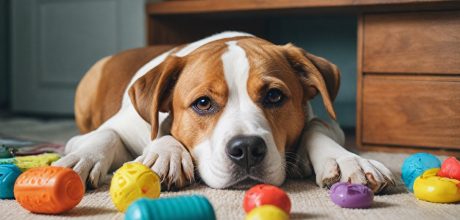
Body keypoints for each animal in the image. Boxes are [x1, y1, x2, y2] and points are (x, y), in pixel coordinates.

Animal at [53, 31, 396, 192]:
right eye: (203, 103)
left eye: (274, 96)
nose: (246, 149)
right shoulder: (106, 129)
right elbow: (108, 135)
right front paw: (164, 153)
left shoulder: (326, 122)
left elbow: (319, 127)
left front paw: (346, 160)